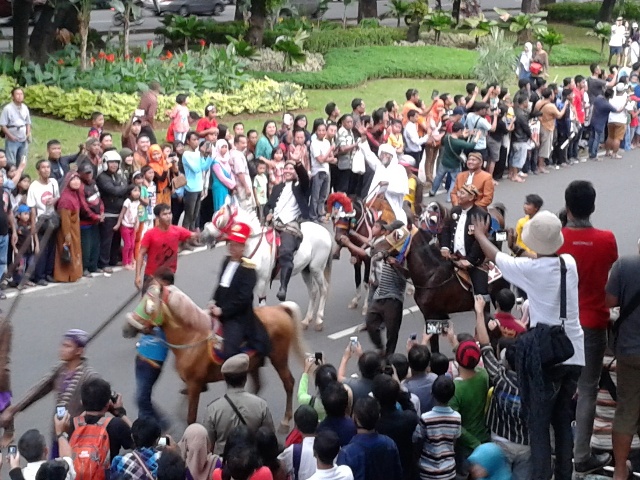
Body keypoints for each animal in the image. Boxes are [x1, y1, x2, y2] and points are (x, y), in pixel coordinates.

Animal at [125, 284, 308, 430]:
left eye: (149, 307)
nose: (127, 328)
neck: (191, 337)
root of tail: (279, 309)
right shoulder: (192, 383)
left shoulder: (195, 384)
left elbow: (190, 417)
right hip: (253, 363)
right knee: (256, 387)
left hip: (278, 357)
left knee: (288, 383)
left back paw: (285, 420)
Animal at [204, 204, 336, 332]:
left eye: (220, 221)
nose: (204, 235)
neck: (253, 245)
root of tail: (324, 231)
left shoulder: (262, 282)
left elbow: (261, 303)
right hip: (306, 270)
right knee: (313, 291)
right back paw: (306, 320)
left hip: (316, 268)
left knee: (323, 289)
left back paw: (319, 320)